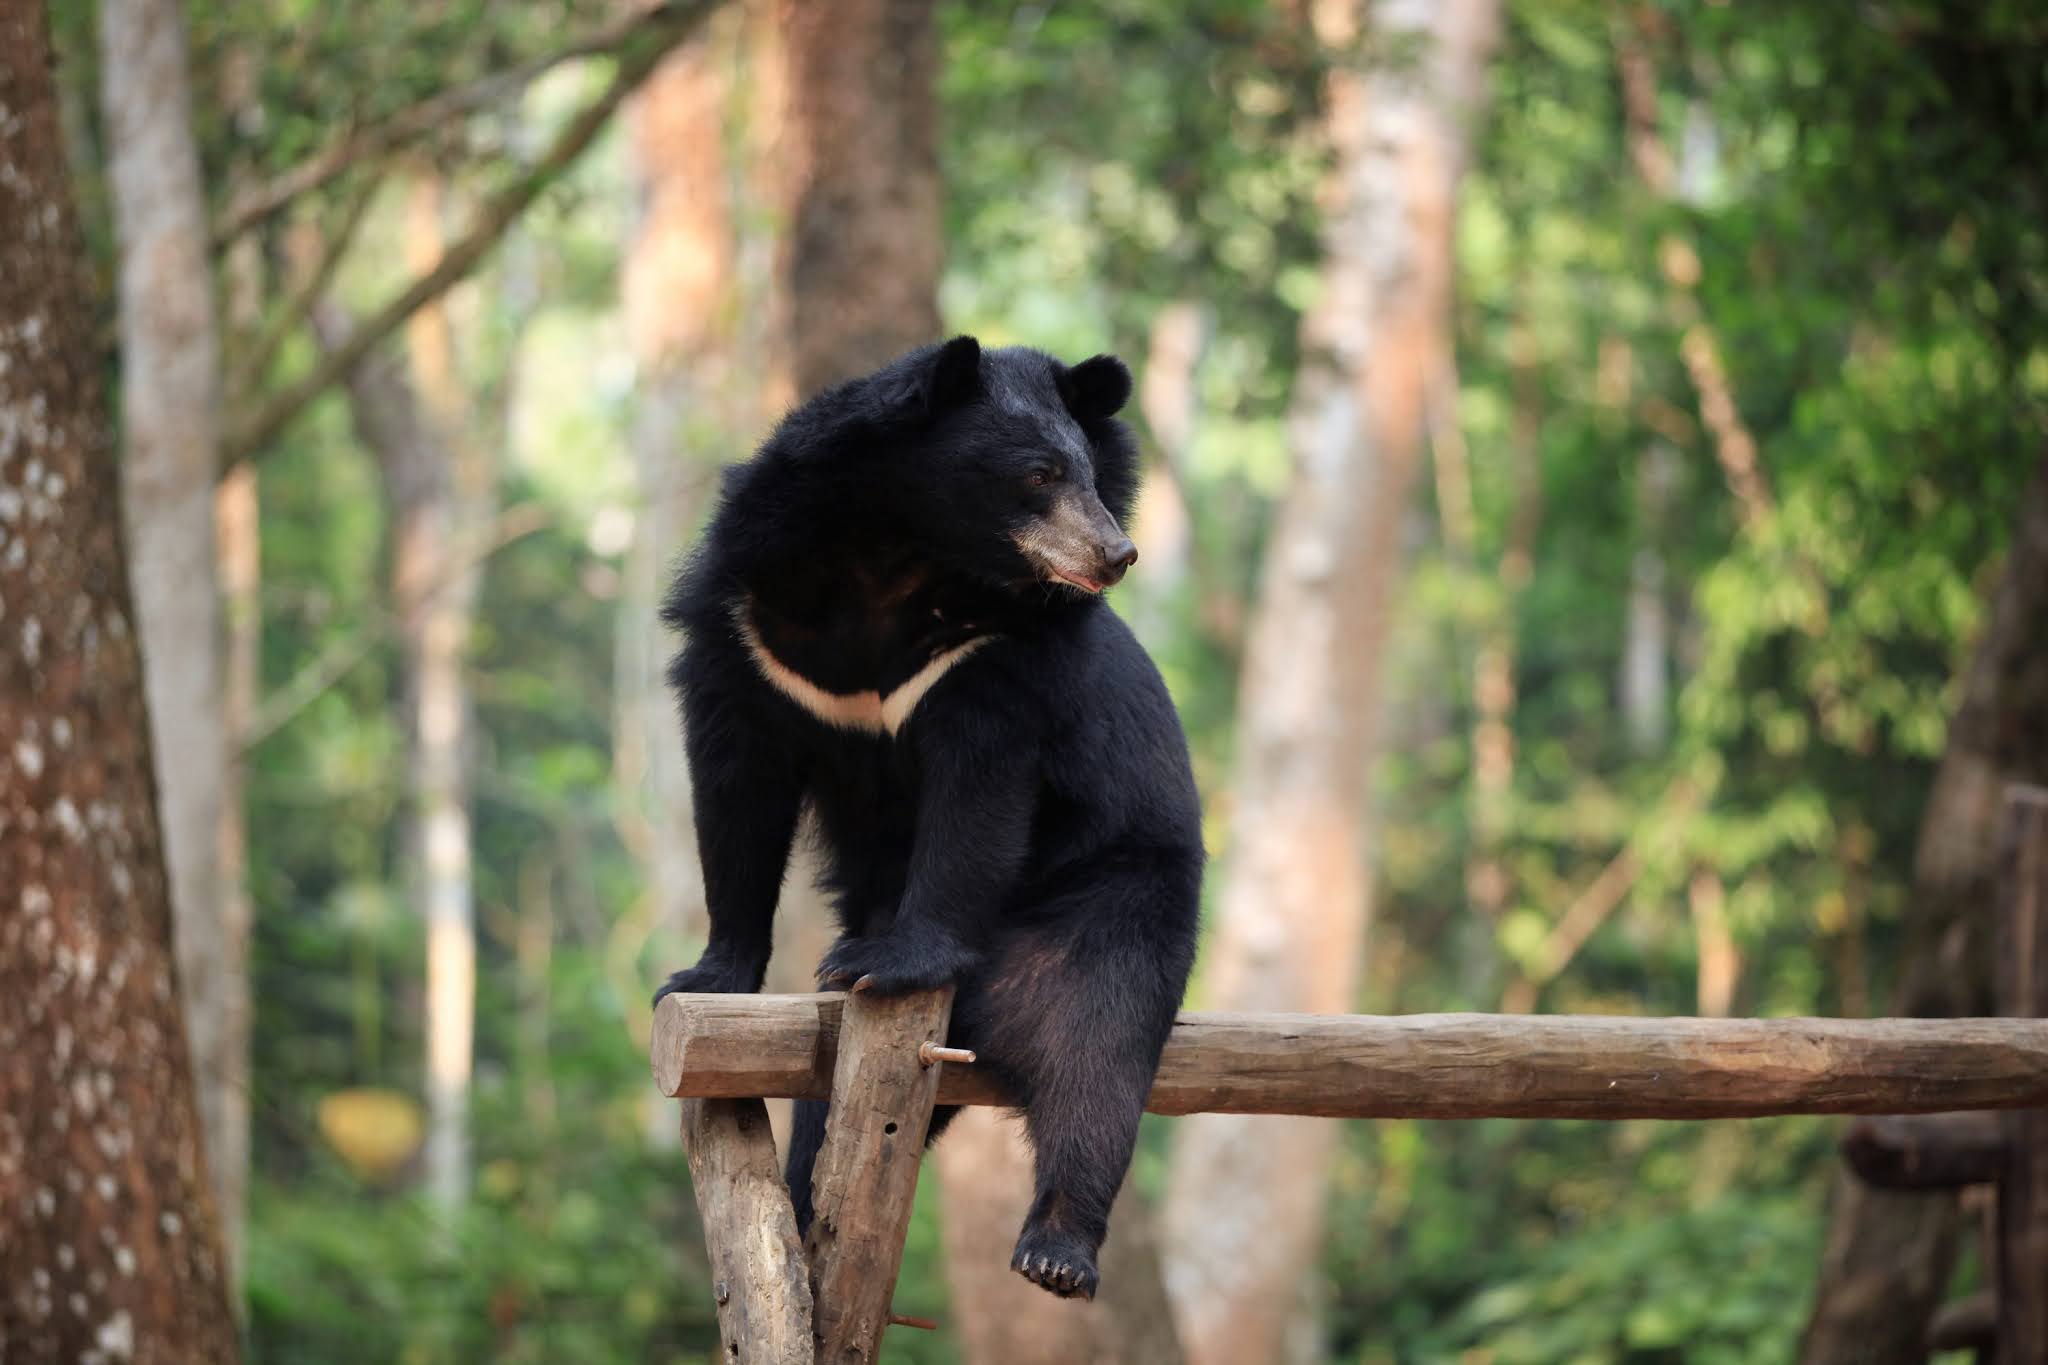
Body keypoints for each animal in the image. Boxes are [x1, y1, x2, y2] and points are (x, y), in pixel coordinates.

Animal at [652, 335, 1203, 1300]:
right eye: (1039, 473)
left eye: (1090, 470)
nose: (1118, 552)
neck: (898, 552)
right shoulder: (751, 632)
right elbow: (736, 794)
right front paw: (704, 976)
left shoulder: (985, 658)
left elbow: (974, 805)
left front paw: (892, 959)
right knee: (823, 1106)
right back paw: (804, 1202)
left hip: (1114, 895)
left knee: (1097, 1048)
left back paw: (1057, 1250)